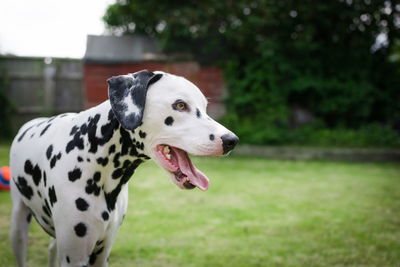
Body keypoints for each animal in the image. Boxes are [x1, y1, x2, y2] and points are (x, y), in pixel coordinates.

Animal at [9, 70, 239, 266]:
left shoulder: (101, 255)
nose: (231, 140)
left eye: (205, 107)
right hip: (18, 229)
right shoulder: (76, 257)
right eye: (180, 105)